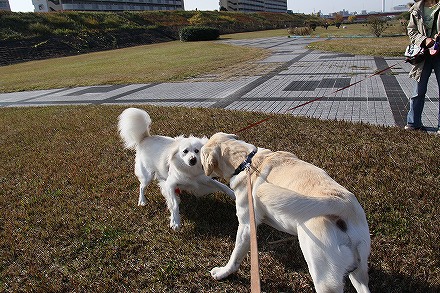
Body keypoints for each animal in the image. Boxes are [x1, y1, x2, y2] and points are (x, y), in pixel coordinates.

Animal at [202, 132, 372, 292]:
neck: (245, 161)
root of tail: (343, 204)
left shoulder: (246, 226)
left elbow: (236, 255)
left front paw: (223, 272)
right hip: (359, 270)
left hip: (324, 275)